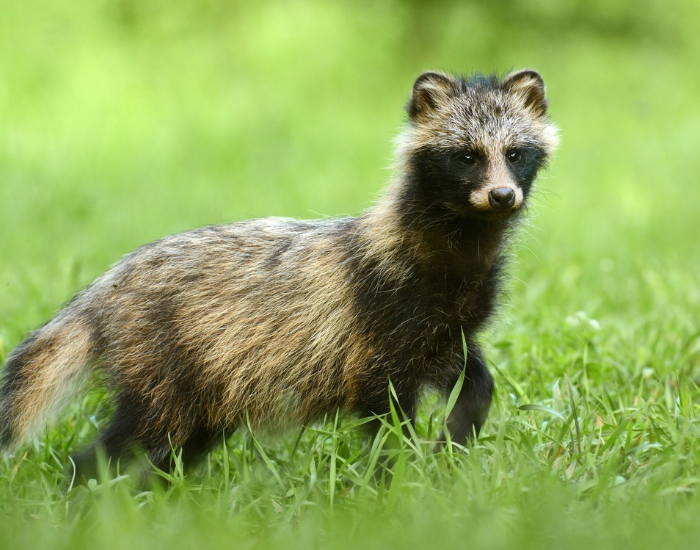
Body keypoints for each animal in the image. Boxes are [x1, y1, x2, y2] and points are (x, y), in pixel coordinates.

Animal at [0, 70, 557, 479]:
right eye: (465, 156)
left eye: (516, 153)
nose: (502, 195)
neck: (459, 253)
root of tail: (105, 289)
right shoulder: (380, 320)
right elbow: (384, 415)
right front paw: (390, 480)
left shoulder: (442, 329)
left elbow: (476, 382)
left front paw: (453, 443)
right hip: (164, 362)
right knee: (123, 444)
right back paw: (83, 494)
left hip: (206, 387)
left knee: (174, 451)